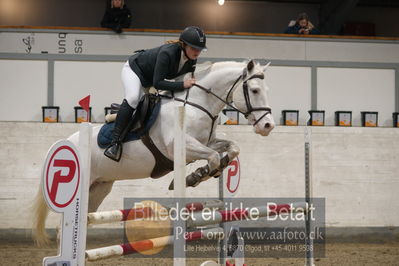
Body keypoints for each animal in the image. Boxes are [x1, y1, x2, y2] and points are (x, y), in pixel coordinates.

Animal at [32, 59, 276, 245]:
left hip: (99, 187)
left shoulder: (208, 142)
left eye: (266, 91)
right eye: (254, 90)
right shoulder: (179, 147)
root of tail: (67, 142)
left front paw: (208, 171)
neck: (198, 105)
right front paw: (195, 176)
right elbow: (213, 157)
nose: (268, 126)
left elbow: (232, 148)